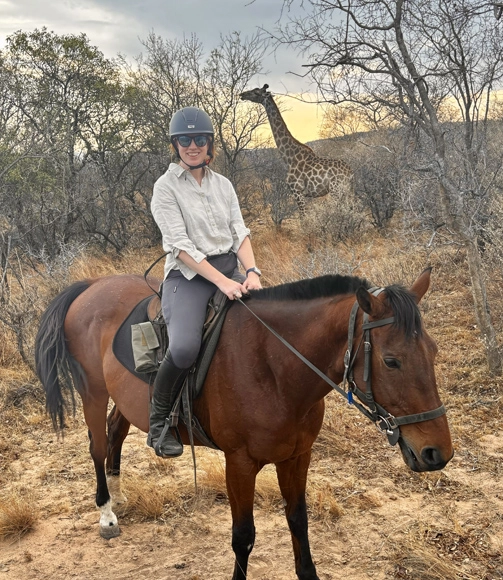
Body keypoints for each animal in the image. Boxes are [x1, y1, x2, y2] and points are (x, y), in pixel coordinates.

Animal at [34, 268, 452, 580]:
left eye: (432, 351)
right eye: (392, 361)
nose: (438, 453)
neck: (274, 366)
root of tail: (92, 285)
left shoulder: (297, 457)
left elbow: (298, 521)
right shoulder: (239, 464)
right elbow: (243, 537)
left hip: (125, 397)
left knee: (117, 431)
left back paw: (119, 493)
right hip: (92, 390)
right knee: (97, 445)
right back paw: (107, 513)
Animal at [240, 84, 354, 215]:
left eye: (256, 92)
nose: (242, 94)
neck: (289, 157)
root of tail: (350, 172)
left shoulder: (297, 191)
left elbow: (303, 218)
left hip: (336, 190)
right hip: (345, 192)